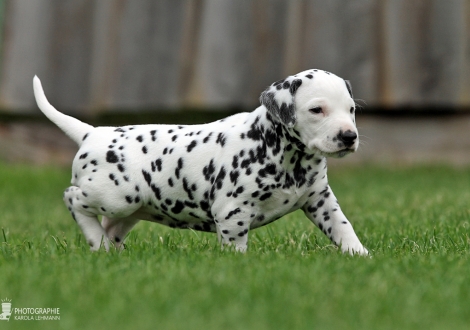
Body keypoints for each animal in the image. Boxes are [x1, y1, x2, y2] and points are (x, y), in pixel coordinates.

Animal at [35, 69, 370, 255]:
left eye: (351, 109)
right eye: (317, 110)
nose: (348, 136)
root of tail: (92, 132)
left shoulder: (320, 200)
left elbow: (343, 228)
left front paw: (359, 255)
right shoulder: (233, 212)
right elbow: (236, 246)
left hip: (128, 209)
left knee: (109, 227)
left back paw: (108, 250)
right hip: (116, 196)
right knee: (72, 198)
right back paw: (97, 241)